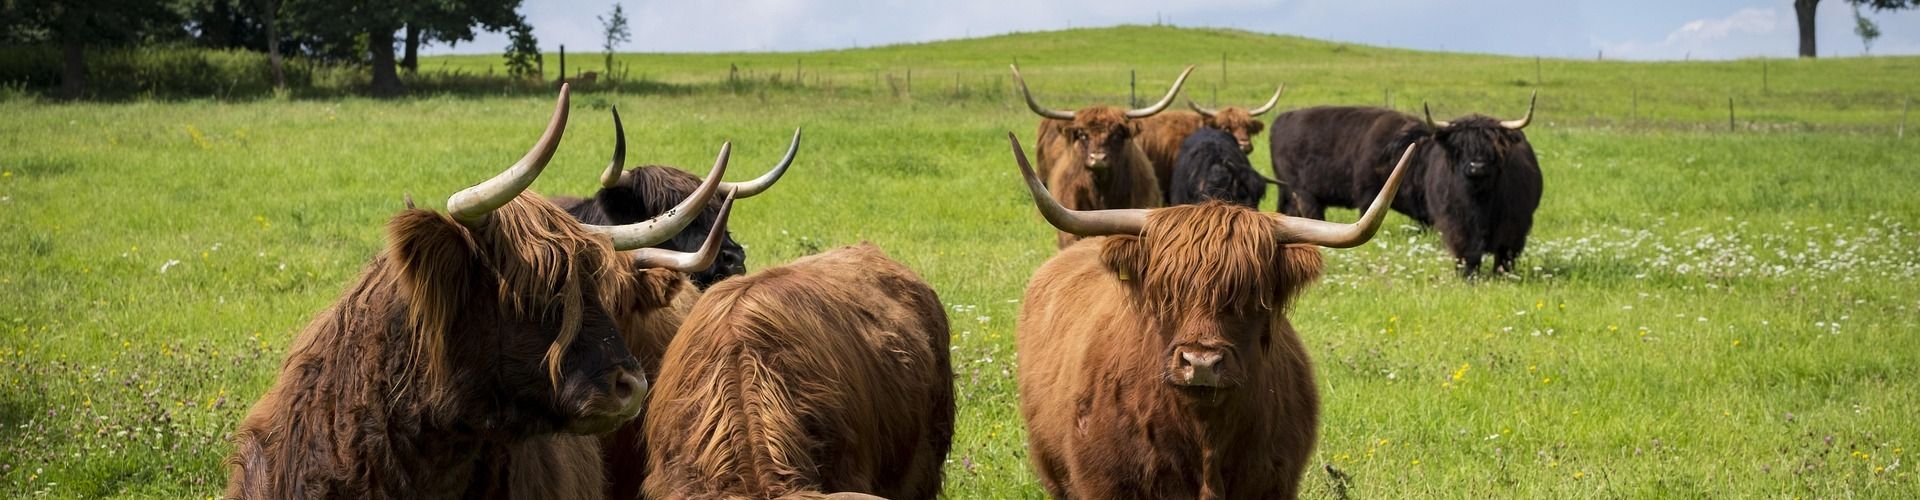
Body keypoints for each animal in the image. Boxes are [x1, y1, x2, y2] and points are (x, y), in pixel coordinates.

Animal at [1270, 92, 1540, 276]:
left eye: (1494, 146)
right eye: (1459, 147)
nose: (1477, 167)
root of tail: (1282, 119)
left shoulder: (1512, 229)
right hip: (1304, 193)